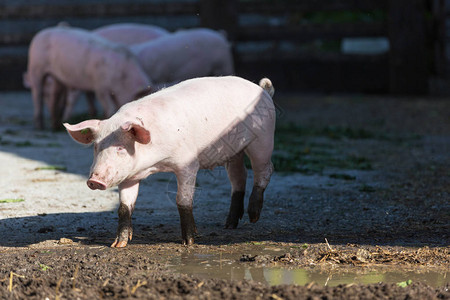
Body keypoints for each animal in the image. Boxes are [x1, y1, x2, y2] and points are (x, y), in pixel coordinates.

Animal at [63, 76, 274, 247]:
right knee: (239, 177)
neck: (155, 165)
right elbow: (124, 206)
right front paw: (118, 245)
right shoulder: (129, 176)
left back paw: (253, 217)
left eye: (120, 148)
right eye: (96, 146)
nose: (94, 180)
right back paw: (229, 225)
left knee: (265, 169)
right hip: (233, 152)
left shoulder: (188, 163)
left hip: (262, 140)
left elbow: (183, 201)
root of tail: (263, 90)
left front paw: (189, 242)